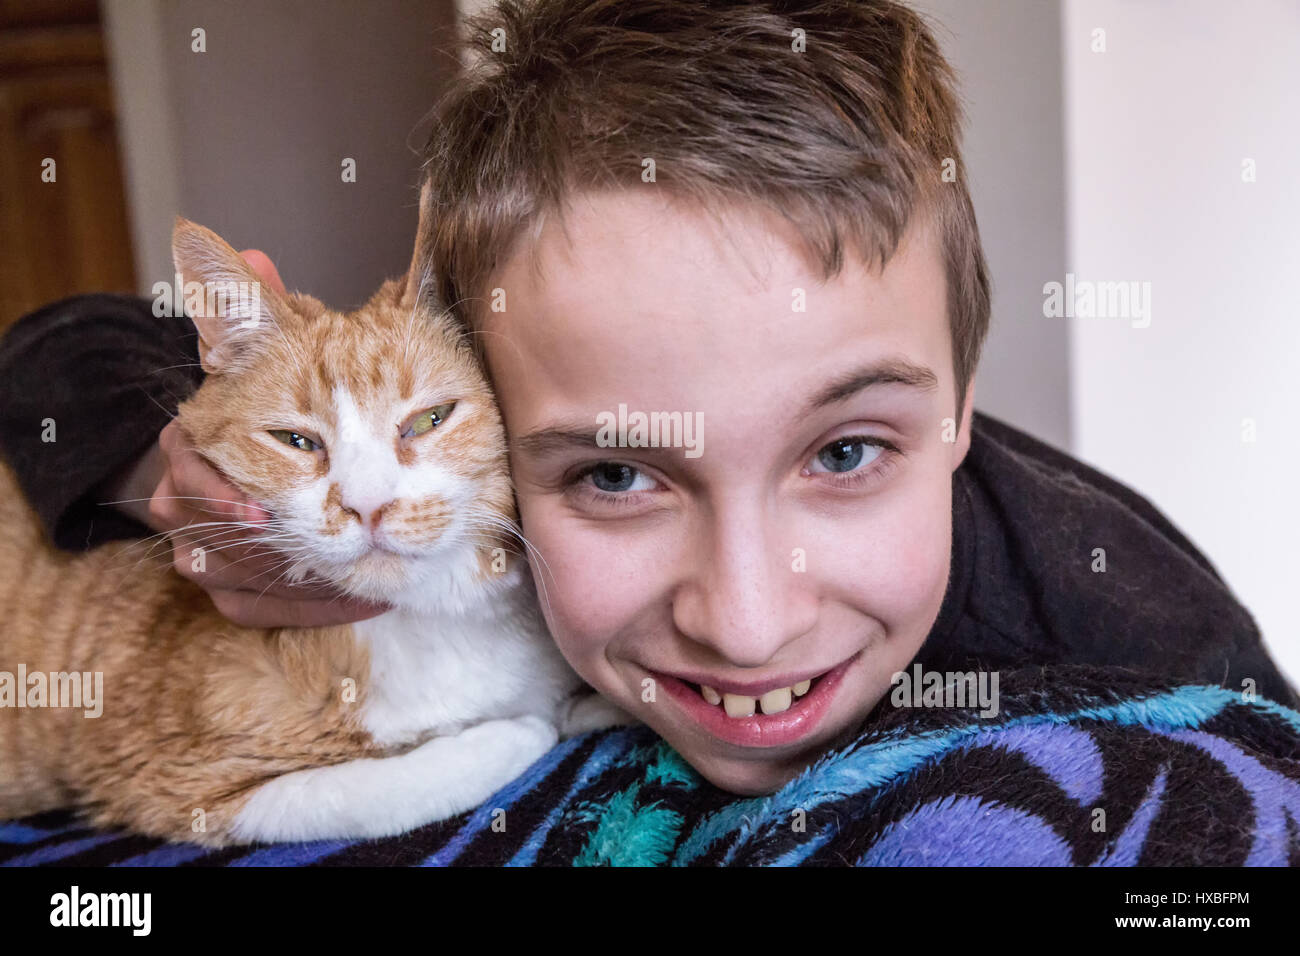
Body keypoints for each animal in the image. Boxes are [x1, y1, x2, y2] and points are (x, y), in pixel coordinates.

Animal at [0, 191, 618, 848]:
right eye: (296, 441)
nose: (367, 506)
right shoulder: (172, 781)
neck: (434, 619)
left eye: (430, 420)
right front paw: (521, 728)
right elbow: (383, 786)